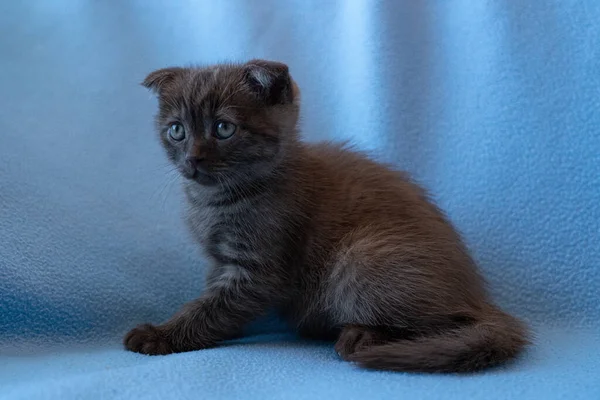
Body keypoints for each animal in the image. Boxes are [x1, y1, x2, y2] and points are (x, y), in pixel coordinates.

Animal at [124, 58, 528, 372]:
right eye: (177, 130)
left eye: (224, 128)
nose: (192, 158)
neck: (216, 201)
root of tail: (478, 295)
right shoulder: (220, 262)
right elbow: (213, 301)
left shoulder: (257, 270)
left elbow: (210, 308)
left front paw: (159, 334)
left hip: (359, 258)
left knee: (450, 323)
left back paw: (362, 336)